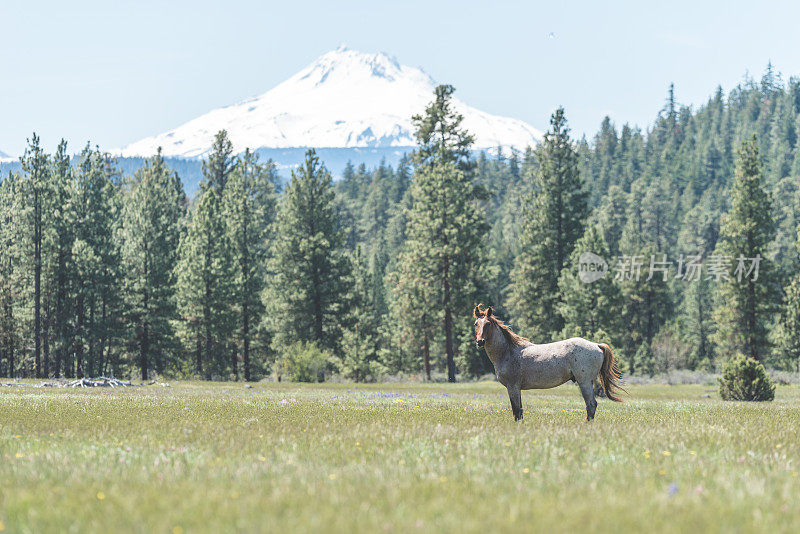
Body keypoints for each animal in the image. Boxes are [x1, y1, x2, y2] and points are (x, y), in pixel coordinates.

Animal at [472, 308, 628, 420]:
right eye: (476, 324)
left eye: (488, 324)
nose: (480, 342)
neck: (507, 351)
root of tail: (596, 345)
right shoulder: (516, 388)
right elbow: (520, 411)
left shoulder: (513, 386)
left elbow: (516, 411)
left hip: (584, 382)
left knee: (591, 405)